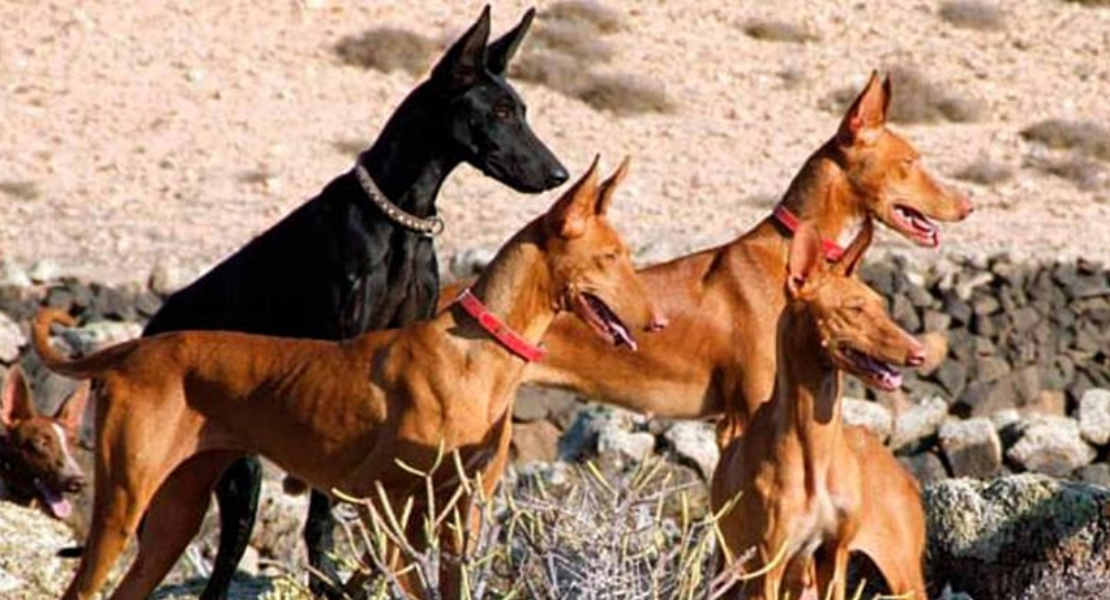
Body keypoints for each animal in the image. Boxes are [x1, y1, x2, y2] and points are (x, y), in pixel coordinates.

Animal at [32, 157, 666, 598]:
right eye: (612, 258)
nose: (659, 321)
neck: (477, 356)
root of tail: (132, 351)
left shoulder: (459, 515)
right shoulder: (385, 505)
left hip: (174, 516)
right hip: (123, 504)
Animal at [140, 7, 563, 594]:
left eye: (522, 110)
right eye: (499, 112)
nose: (558, 174)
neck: (402, 217)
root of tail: (150, 327)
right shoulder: (343, 361)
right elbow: (325, 504)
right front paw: (328, 573)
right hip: (236, 474)